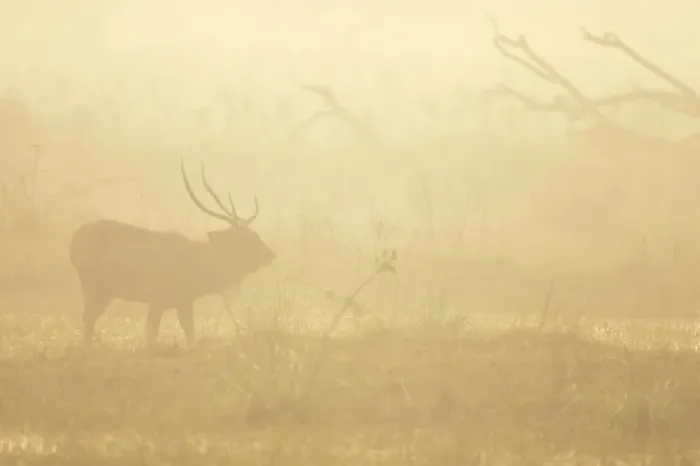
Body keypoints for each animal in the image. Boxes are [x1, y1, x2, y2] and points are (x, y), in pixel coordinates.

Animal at [69, 159, 276, 348]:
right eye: (245, 239)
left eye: (255, 234)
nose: (271, 254)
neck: (199, 273)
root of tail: (73, 242)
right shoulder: (158, 298)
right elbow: (153, 335)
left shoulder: (183, 300)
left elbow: (189, 333)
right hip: (94, 286)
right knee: (87, 319)